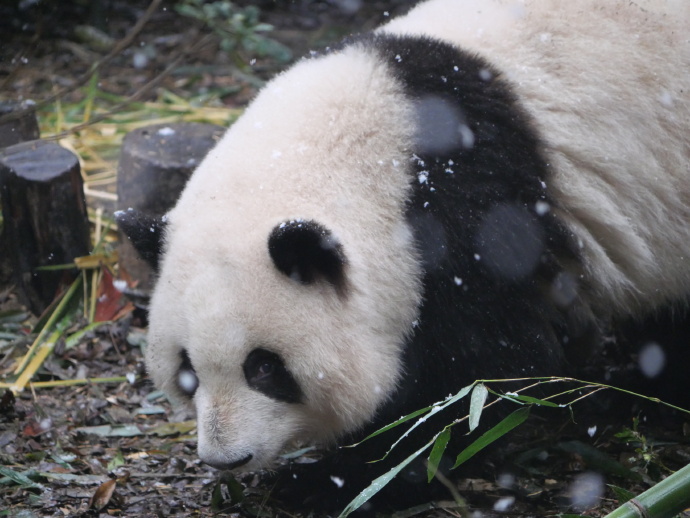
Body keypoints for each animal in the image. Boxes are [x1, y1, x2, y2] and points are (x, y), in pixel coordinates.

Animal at [117, 0, 690, 513]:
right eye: (186, 370)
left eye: (263, 367)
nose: (226, 459)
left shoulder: (479, 216)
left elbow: (478, 377)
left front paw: (335, 481)